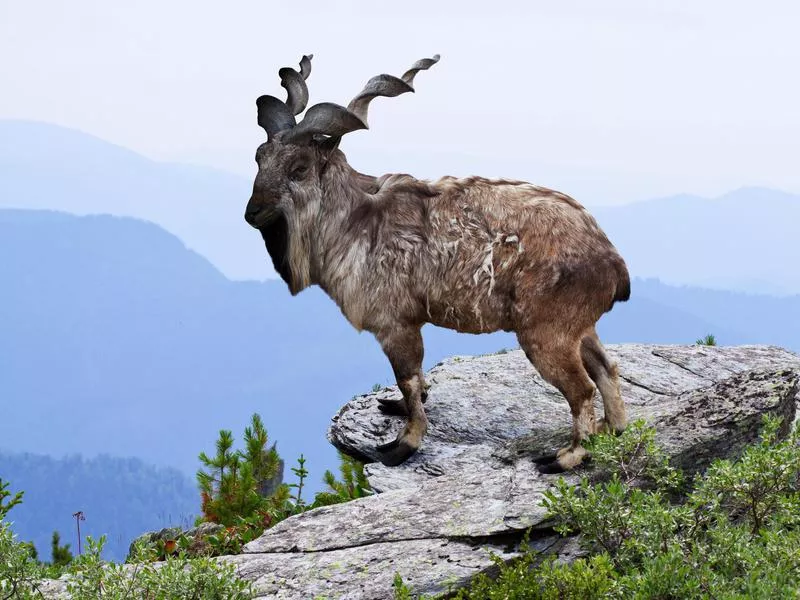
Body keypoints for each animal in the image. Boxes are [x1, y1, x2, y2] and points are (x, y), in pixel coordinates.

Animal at [244, 54, 632, 472]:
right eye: (259, 157)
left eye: (299, 168)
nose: (253, 213)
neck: (358, 221)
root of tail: (612, 261)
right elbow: (413, 383)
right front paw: (395, 408)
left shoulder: (395, 323)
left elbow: (409, 379)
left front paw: (403, 445)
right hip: (580, 326)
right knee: (606, 368)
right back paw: (613, 429)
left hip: (547, 333)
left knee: (581, 388)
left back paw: (566, 456)